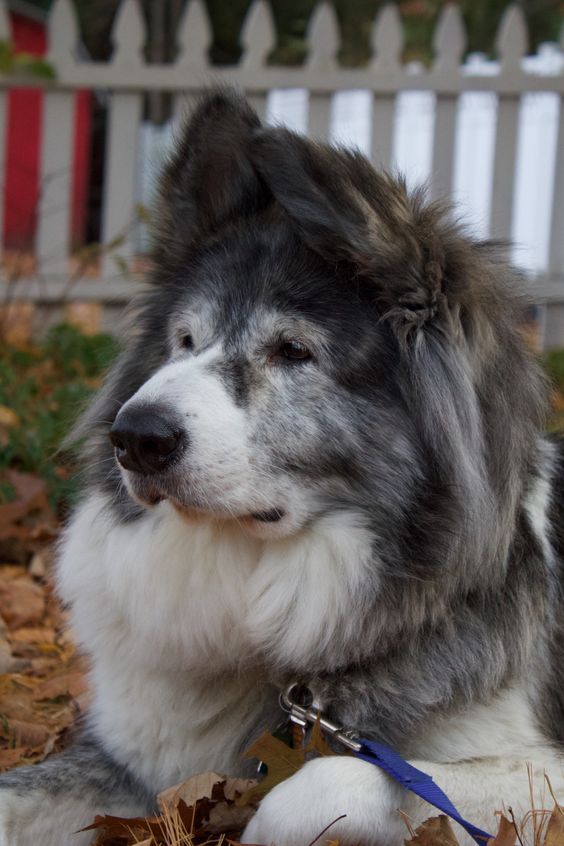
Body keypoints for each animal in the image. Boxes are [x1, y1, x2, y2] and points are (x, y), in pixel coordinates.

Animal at [1, 89, 564, 844]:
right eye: (185, 341)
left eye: (293, 351)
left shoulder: (526, 767)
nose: (134, 437)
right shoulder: (134, 755)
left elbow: (314, 788)